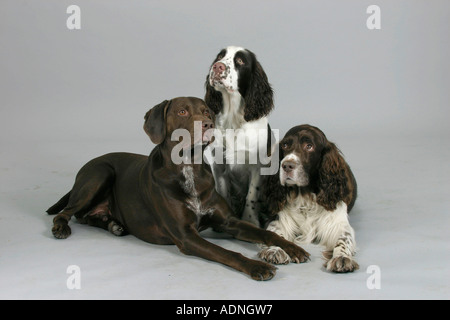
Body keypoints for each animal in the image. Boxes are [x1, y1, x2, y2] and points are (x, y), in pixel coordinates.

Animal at [48, 97, 310, 280]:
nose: (208, 124)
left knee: (85, 216)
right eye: (182, 111)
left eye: (206, 112)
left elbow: (267, 233)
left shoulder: (228, 222)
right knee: (67, 213)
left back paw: (114, 225)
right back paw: (62, 228)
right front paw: (256, 266)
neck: (188, 167)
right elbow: (227, 252)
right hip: (101, 173)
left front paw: (291, 248)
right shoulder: (186, 236)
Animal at [260, 125, 358, 272]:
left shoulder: (338, 223)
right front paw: (275, 250)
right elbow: (275, 233)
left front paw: (341, 257)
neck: (304, 195)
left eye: (309, 146)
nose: (286, 165)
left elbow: (343, 239)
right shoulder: (279, 219)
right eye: (285, 145)